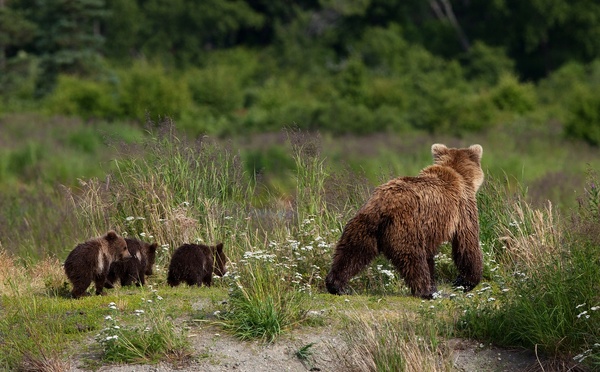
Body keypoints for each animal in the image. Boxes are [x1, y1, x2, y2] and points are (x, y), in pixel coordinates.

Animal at [326, 144, 486, 298]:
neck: (458, 173)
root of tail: (385, 204)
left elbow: (430, 255)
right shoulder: (463, 208)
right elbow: (467, 243)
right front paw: (465, 282)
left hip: (364, 224)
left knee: (352, 252)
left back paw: (337, 286)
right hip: (406, 226)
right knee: (413, 258)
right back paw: (426, 292)